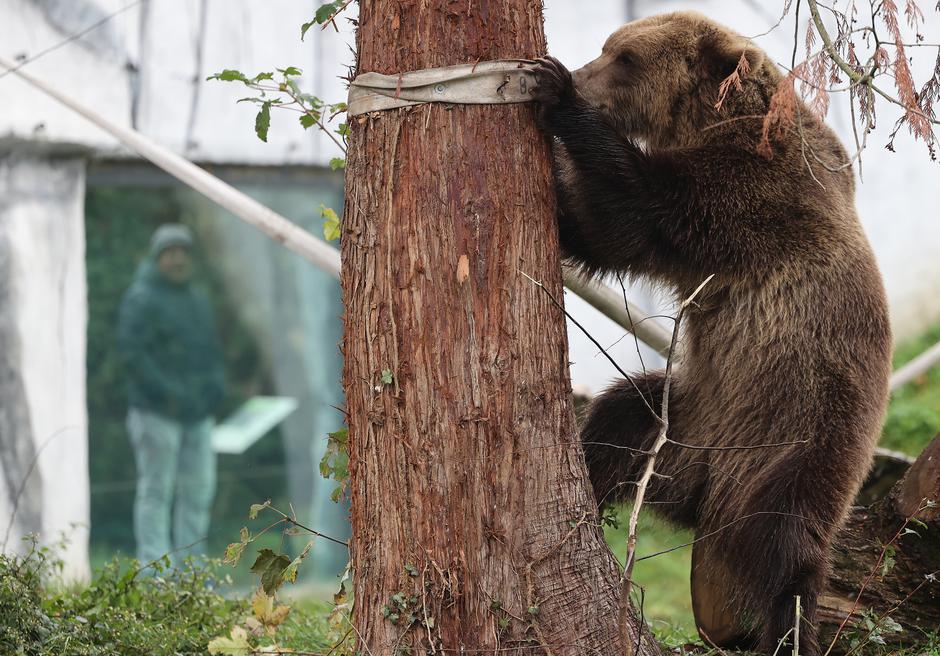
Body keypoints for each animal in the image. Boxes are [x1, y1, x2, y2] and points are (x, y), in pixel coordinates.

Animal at [532, 10, 892, 656]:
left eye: (623, 58)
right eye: (610, 49)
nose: (581, 73)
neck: (710, 118)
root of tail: (711, 502)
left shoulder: (753, 194)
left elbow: (642, 203)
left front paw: (557, 94)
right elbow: (611, 237)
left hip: (796, 443)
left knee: (783, 551)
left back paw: (778, 629)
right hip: (690, 429)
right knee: (627, 413)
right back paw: (591, 486)